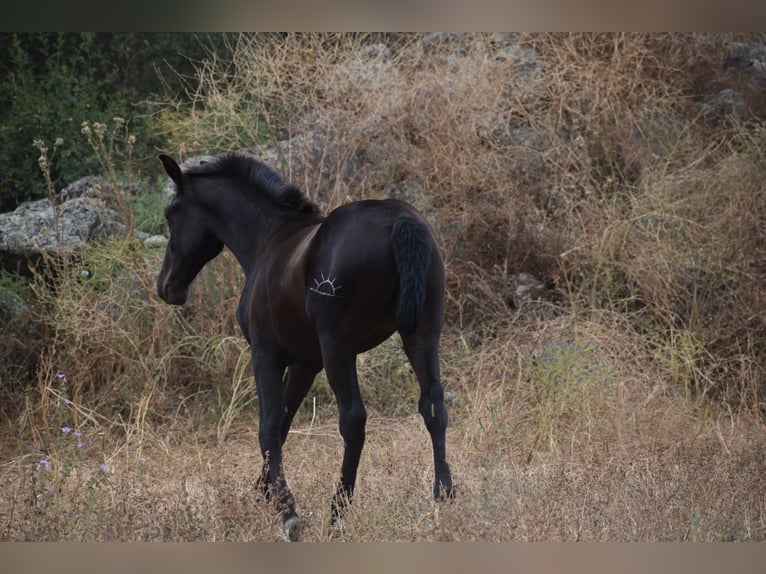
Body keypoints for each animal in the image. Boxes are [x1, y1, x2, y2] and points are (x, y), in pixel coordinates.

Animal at [158, 152, 452, 540]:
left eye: (170, 214)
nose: (166, 286)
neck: (268, 240)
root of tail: (400, 221)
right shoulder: (305, 363)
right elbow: (283, 422)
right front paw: (264, 491)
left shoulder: (266, 356)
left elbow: (268, 428)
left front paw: (287, 511)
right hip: (421, 335)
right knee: (433, 405)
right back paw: (444, 494)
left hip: (338, 347)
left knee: (353, 420)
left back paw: (338, 510)